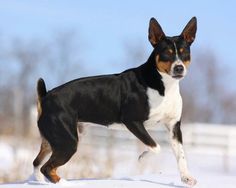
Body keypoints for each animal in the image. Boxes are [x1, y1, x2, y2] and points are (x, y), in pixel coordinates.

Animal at [32, 16, 197, 186]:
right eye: (166, 53)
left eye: (185, 53)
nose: (179, 68)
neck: (163, 87)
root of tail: (45, 96)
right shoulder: (132, 121)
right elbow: (156, 146)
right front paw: (143, 156)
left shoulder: (173, 125)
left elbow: (180, 154)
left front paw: (187, 177)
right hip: (68, 142)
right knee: (46, 167)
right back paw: (63, 183)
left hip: (55, 139)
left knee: (37, 163)